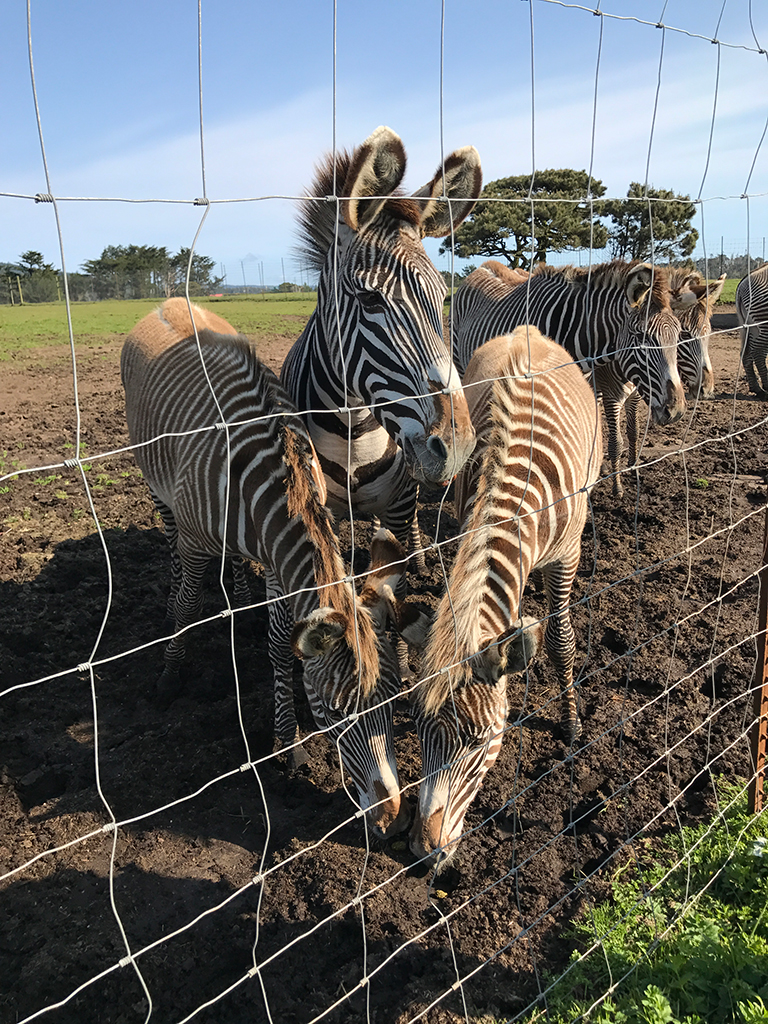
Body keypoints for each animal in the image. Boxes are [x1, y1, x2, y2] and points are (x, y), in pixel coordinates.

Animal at [121, 299, 415, 839]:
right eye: (336, 714)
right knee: (173, 554)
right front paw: (171, 674)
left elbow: (281, 640)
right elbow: (190, 602)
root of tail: (171, 301)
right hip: (157, 488)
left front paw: (287, 741)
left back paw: (238, 595)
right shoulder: (199, 541)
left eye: (391, 698)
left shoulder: (282, 562)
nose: (393, 821)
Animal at [280, 125, 483, 569]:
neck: (355, 432)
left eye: (442, 296)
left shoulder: (403, 500)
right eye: (370, 299)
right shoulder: (321, 509)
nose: (457, 445)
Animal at [411, 325, 606, 864]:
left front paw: (571, 726)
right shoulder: (468, 522)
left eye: (479, 741)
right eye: (417, 731)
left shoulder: (568, 556)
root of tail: (526, 331)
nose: (424, 852)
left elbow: (560, 640)